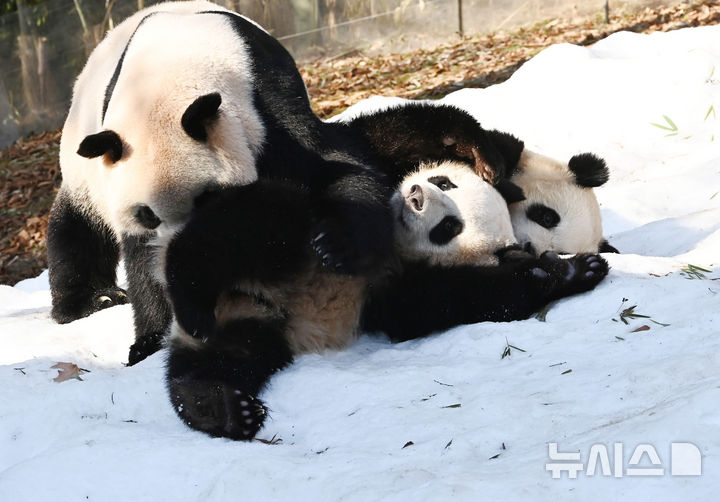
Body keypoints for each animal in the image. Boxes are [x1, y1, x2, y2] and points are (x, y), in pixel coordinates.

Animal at [163, 161, 608, 440]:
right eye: (445, 183)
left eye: (450, 227)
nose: (415, 195)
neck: (395, 249)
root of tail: (243, 298)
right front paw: (568, 271)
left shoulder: (391, 293)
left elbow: (446, 301)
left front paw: (568, 271)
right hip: (285, 246)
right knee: (256, 221)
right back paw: (189, 295)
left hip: (253, 324)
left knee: (225, 359)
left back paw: (219, 407)